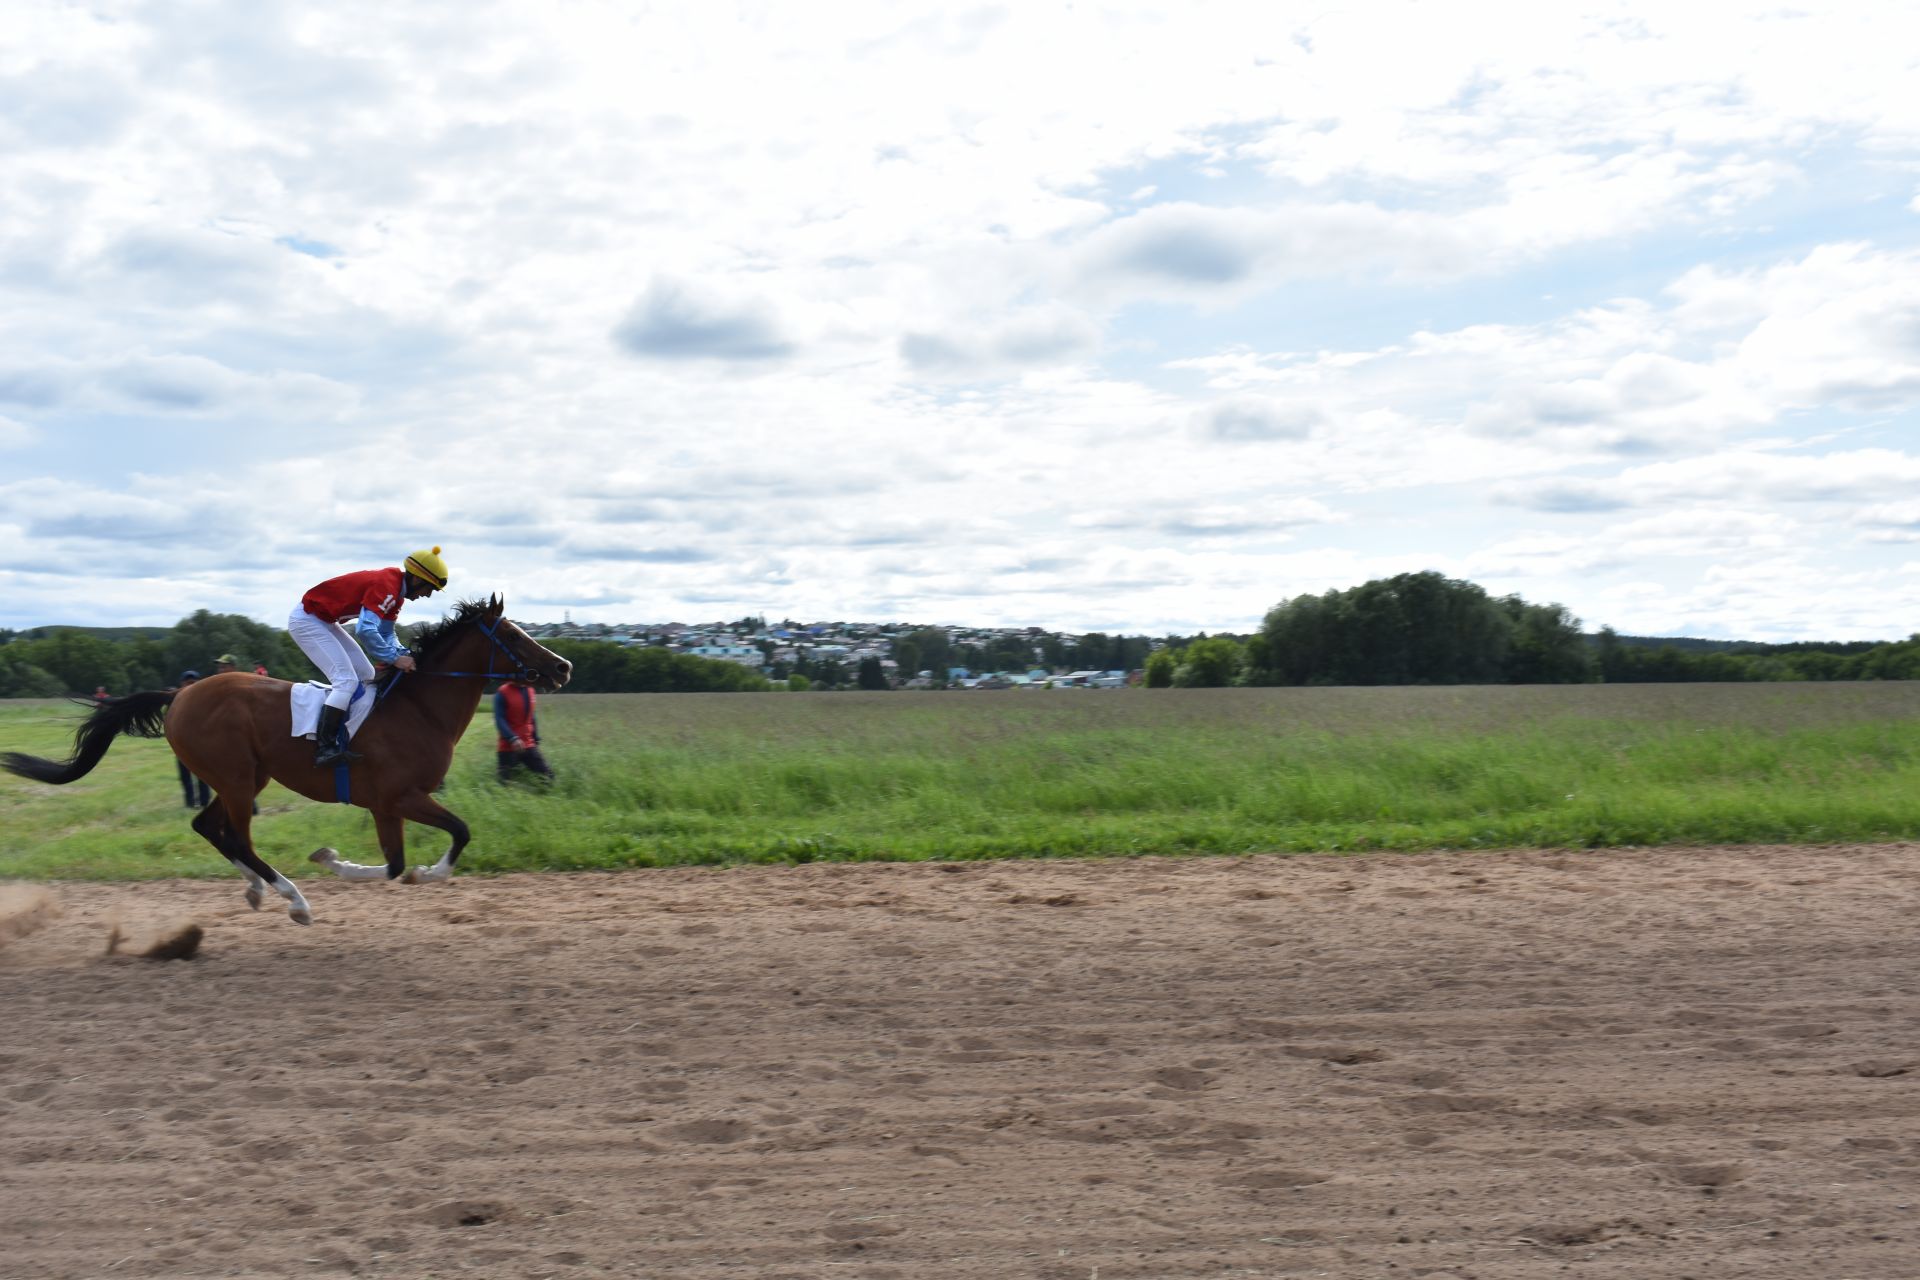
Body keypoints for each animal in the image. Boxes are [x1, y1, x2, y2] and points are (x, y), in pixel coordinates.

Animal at [0, 594, 568, 924]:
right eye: (512, 634)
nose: (563, 666)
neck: (419, 707)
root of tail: (180, 694)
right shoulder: (398, 797)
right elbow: (448, 839)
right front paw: (416, 873)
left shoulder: (387, 805)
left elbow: (398, 862)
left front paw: (345, 862)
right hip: (235, 778)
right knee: (238, 839)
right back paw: (292, 898)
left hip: (245, 778)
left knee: (209, 828)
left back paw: (257, 888)